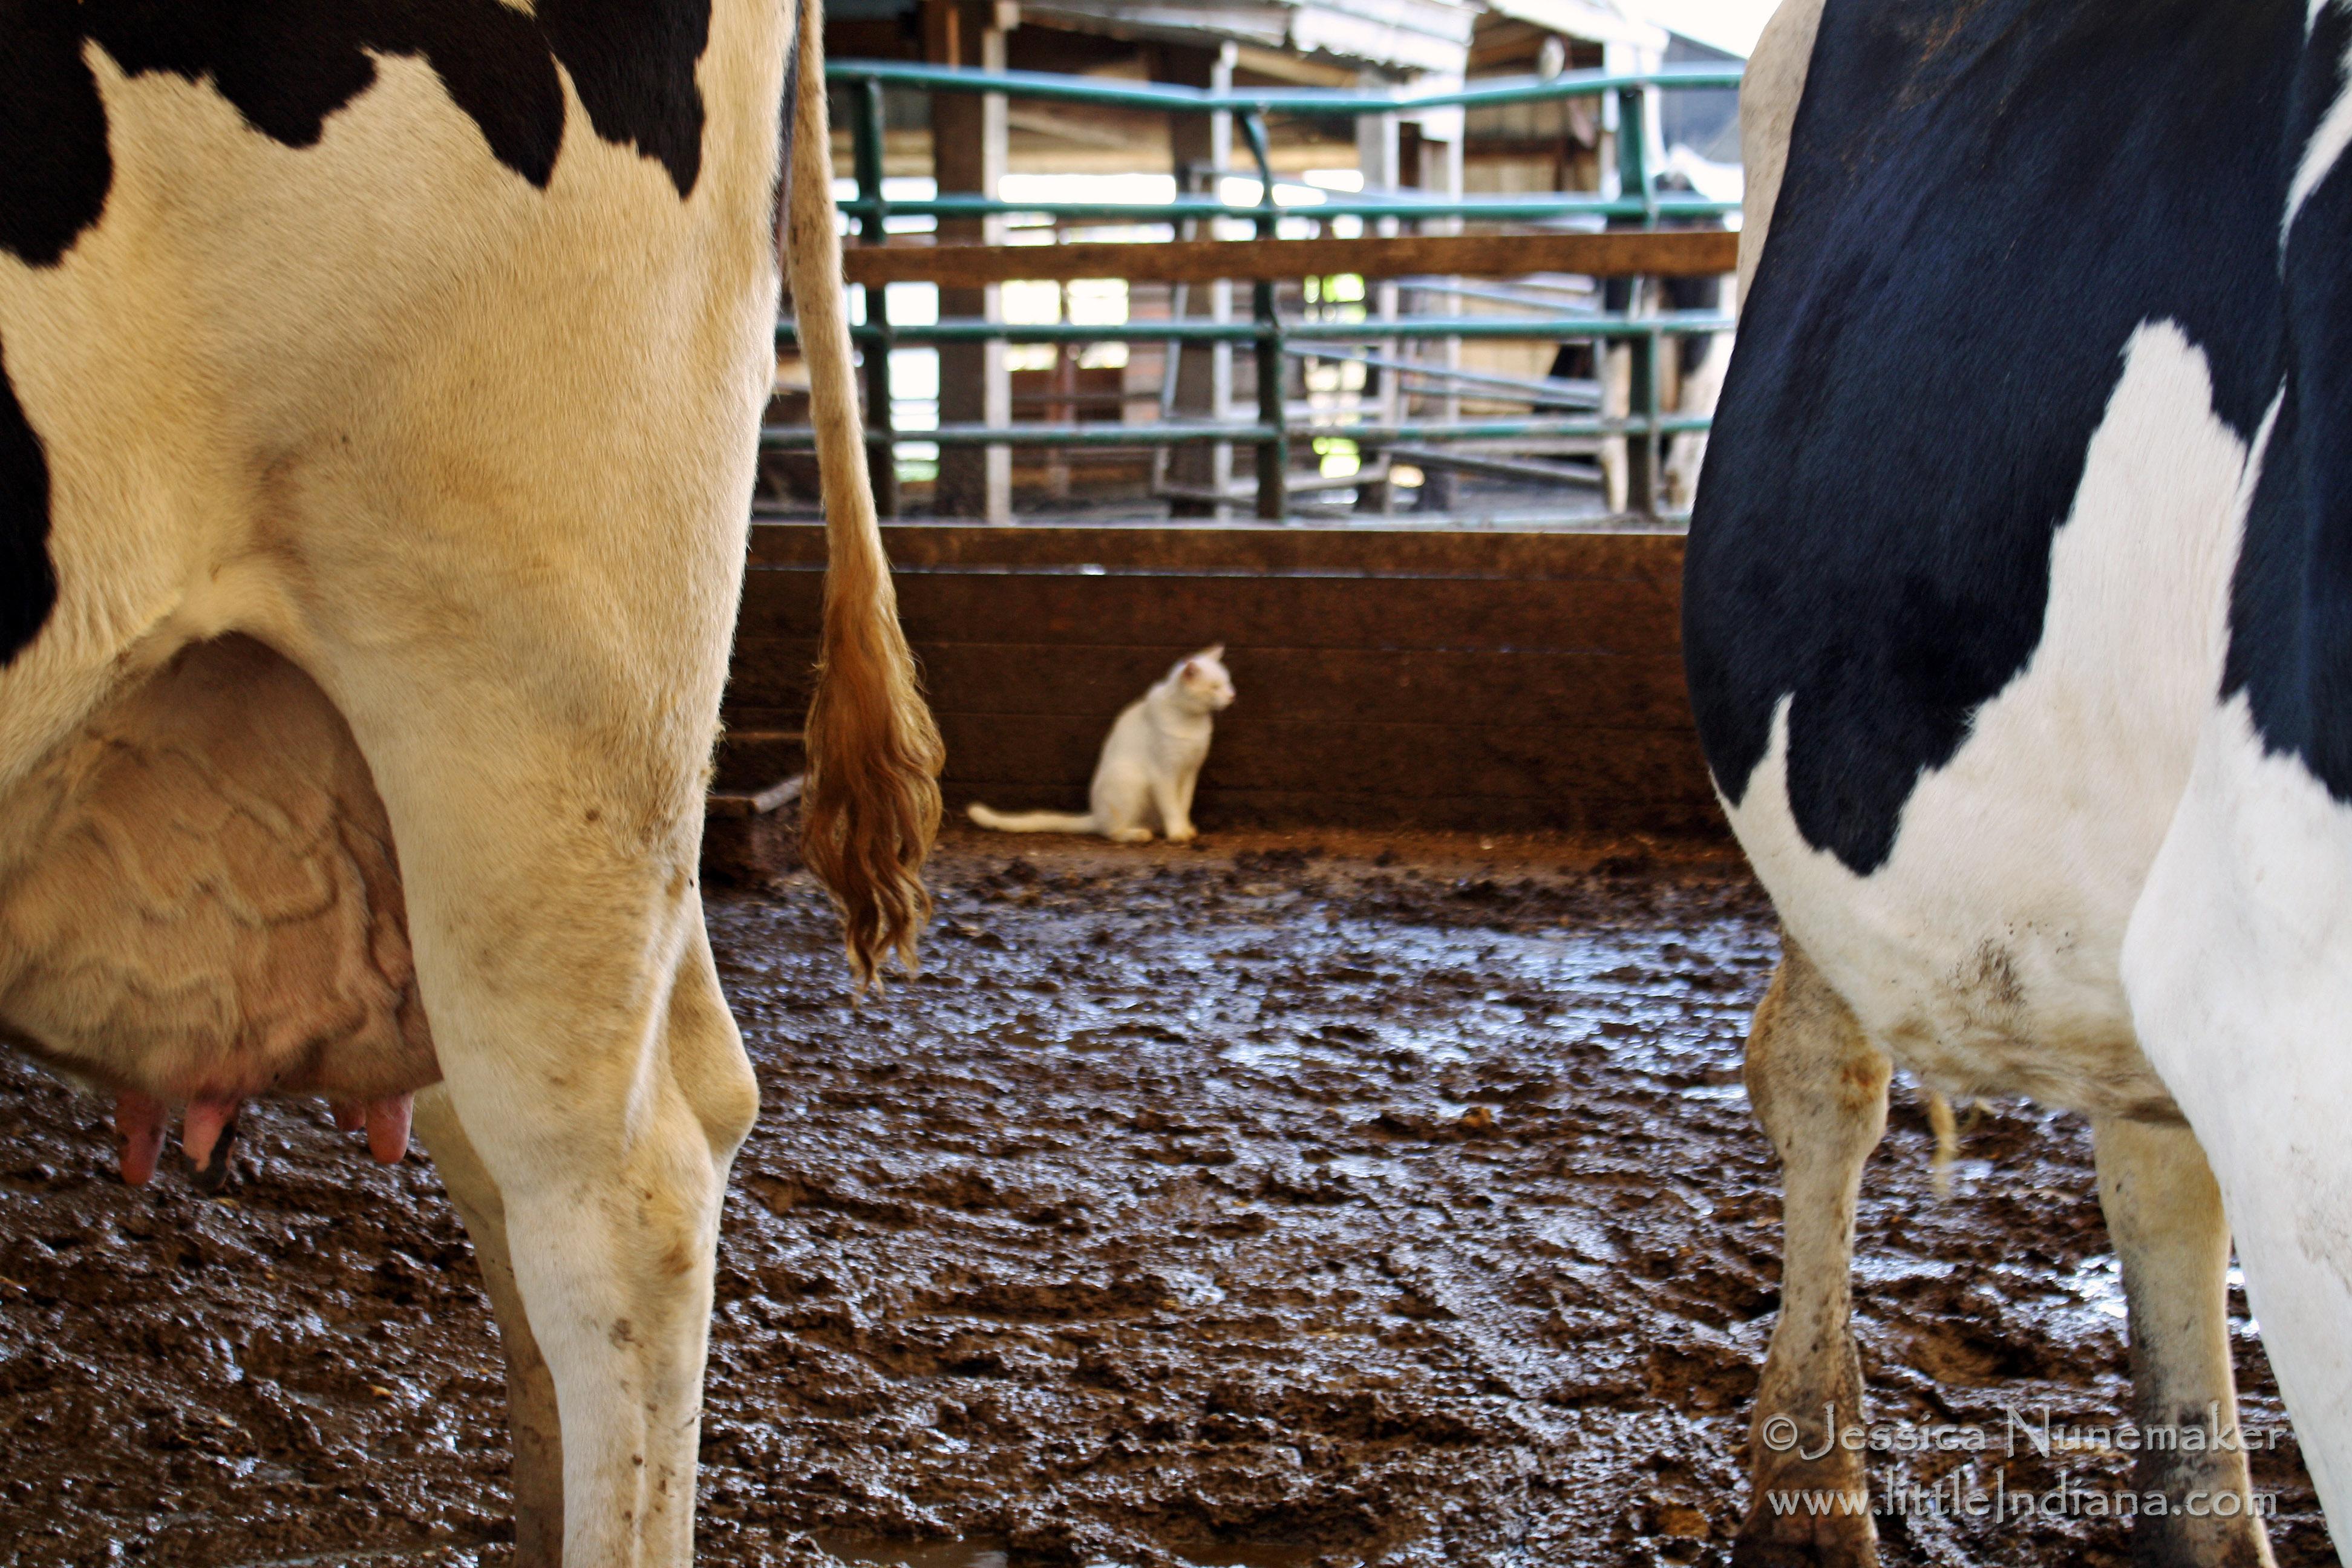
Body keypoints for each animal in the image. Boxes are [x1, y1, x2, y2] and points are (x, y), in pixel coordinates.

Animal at [964, 648, 1241, 846]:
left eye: (1228, 683)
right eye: (1215, 687)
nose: (1232, 696)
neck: (1192, 722)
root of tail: (1096, 815)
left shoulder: (1190, 771)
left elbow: (1183, 804)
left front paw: (1186, 829)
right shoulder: (1164, 773)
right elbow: (1171, 806)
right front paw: (1177, 834)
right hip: (1129, 778)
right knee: (1112, 832)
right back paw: (1137, 834)